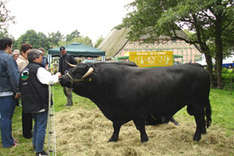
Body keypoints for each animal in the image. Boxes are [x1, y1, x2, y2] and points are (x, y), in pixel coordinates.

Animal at [59, 62, 211, 143]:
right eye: (73, 68)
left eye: (79, 71)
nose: (61, 78)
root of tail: (199, 67)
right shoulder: (117, 113)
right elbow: (116, 127)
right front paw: (113, 139)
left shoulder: (138, 112)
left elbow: (140, 127)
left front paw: (144, 139)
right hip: (197, 104)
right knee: (202, 119)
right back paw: (203, 133)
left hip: (197, 104)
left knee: (199, 119)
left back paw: (197, 137)